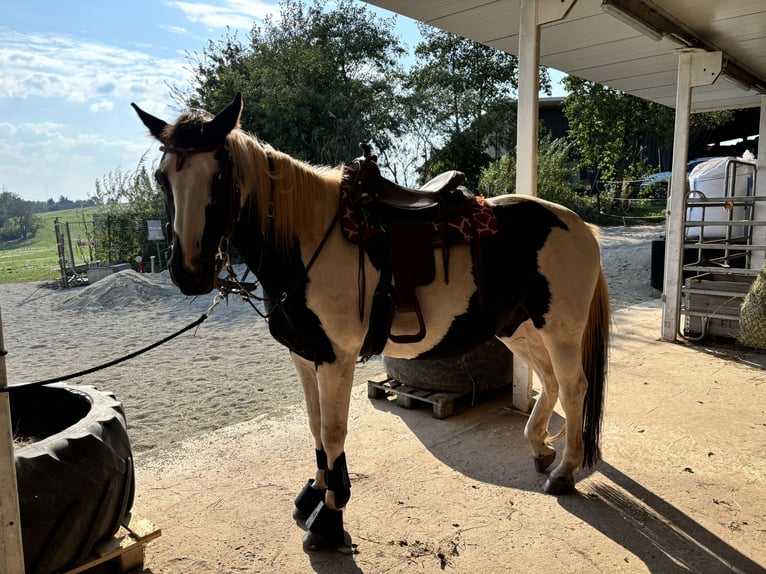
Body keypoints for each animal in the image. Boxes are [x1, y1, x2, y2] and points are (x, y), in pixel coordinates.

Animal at [134, 92, 612, 552]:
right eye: (161, 177)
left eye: (219, 176)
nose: (189, 271)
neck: (305, 243)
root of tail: (578, 224)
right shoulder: (304, 357)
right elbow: (315, 426)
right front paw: (316, 492)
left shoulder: (335, 359)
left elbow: (333, 432)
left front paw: (329, 518)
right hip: (518, 327)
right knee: (550, 381)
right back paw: (540, 448)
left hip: (560, 329)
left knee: (574, 387)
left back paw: (564, 471)